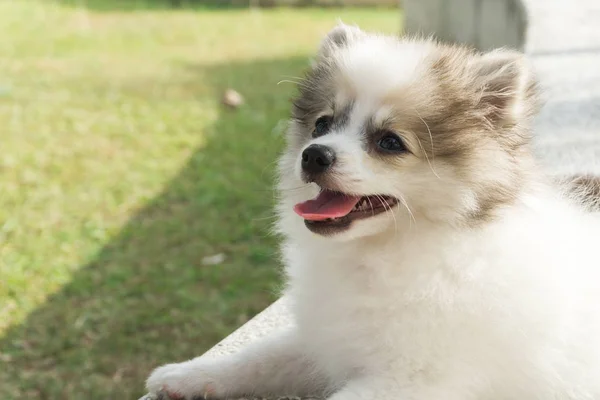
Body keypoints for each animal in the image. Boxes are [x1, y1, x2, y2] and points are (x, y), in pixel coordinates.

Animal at [143, 24, 600, 400]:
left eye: (390, 142)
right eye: (322, 125)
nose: (314, 155)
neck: (386, 251)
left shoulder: (415, 378)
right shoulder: (324, 336)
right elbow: (259, 357)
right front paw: (187, 374)